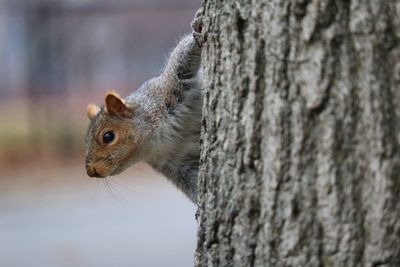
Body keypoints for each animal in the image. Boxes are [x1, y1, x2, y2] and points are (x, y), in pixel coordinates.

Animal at [83, 9, 203, 203]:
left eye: (108, 136)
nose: (91, 171)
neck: (157, 142)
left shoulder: (169, 90)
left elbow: (182, 59)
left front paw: (198, 29)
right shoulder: (175, 164)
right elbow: (192, 182)